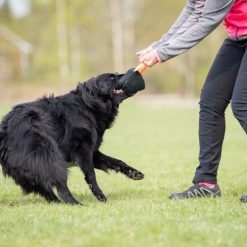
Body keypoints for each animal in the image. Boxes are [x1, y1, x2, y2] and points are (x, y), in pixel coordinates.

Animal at [0, 73, 144, 205]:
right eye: (112, 77)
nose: (133, 71)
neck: (88, 105)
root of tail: (5, 130)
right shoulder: (83, 151)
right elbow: (91, 175)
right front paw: (100, 196)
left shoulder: (92, 152)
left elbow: (115, 161)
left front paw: (133, 173)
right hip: (49, 155)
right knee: (59, 184)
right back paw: (75, 203)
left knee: (43, 187)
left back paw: (56, 202)